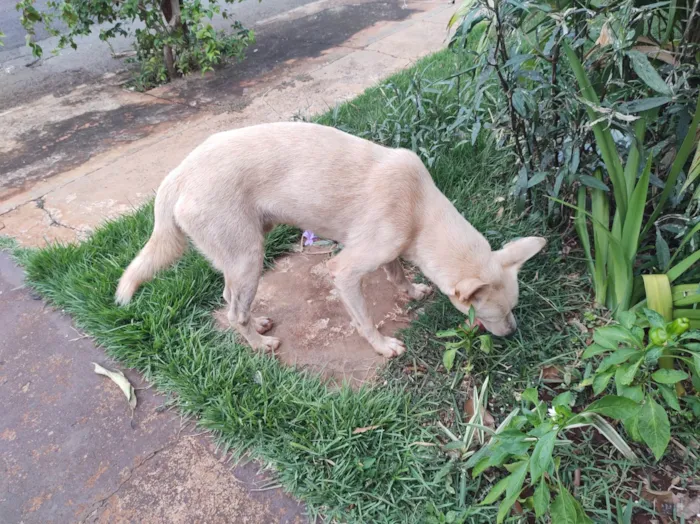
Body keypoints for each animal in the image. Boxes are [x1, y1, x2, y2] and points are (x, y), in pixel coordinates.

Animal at [116, 121, 548, 358]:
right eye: (493, 314)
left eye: (513, 308)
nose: (514, 333)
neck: (420, 213)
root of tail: (176, 176)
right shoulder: (344, 270)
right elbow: (365, 319)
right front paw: (382, 347)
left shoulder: (390, 250)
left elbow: (396, 273)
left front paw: (411, 291)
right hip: (248, 258)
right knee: (233, 312)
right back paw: (259, 345)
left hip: (244, 255)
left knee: (230, 299)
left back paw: (259, 324)